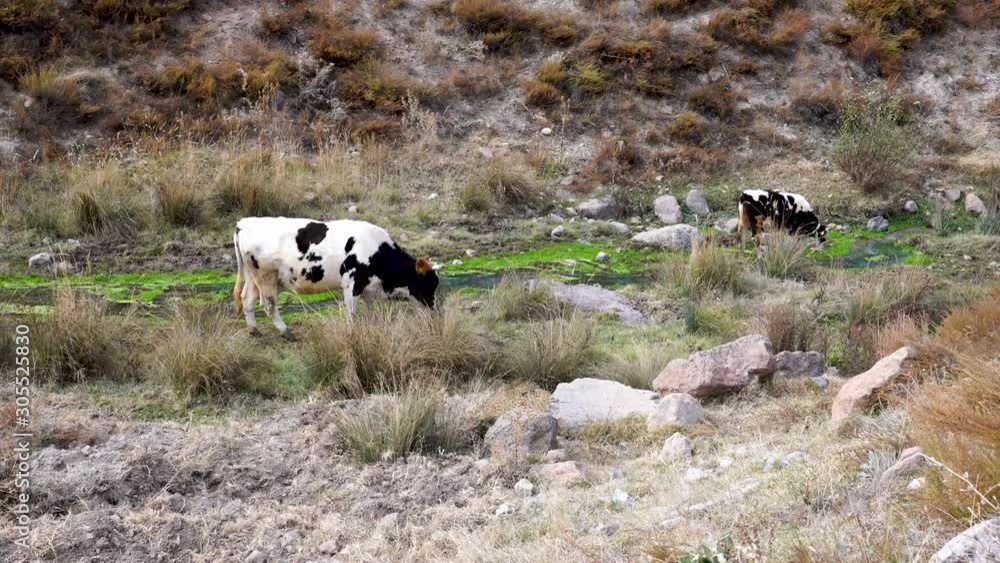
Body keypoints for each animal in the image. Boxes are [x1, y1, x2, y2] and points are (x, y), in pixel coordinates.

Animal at [233, 218, 440, 338]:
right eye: (428, 284)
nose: (434, 311)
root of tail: (245, 223)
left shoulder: (367, 286)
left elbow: (371, 307)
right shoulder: (352, 283)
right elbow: (352, 311)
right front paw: (352, 330)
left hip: (253, 277)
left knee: (247, 299)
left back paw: (254, 330)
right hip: (266, 276)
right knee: (268, 304)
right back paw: (285, 331)